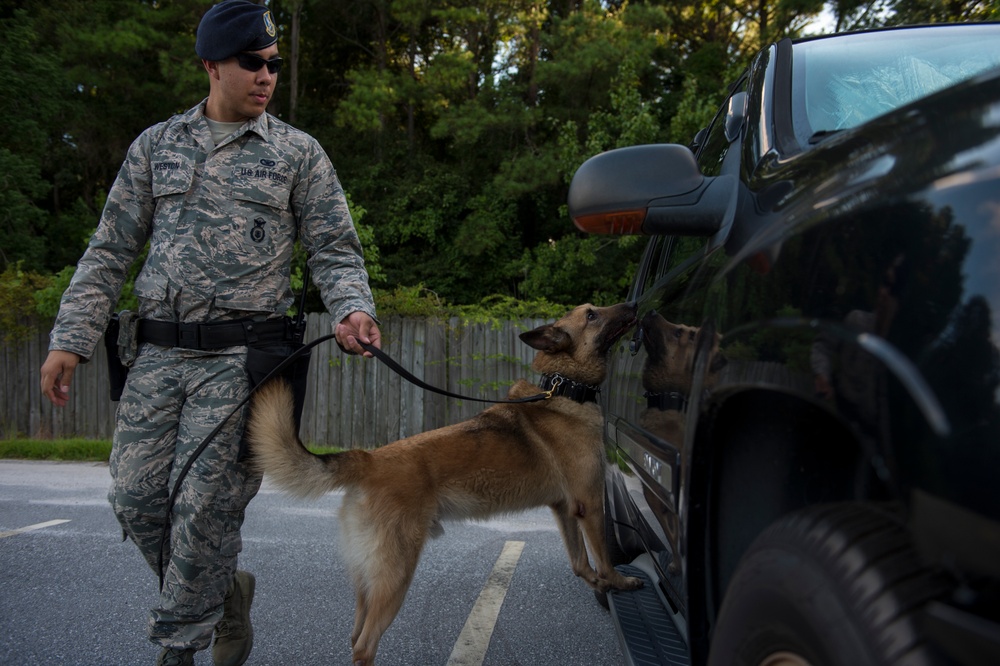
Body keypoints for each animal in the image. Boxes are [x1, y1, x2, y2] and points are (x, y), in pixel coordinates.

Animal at [246, 302, 644, 664]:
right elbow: (604, 558)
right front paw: (618, 584)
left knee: (354, 635)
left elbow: (580, 562)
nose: (632, 304)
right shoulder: (591, 504)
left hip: (368, 580)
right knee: (365, 645)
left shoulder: (564, 509)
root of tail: (368, 459)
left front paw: (597, 584)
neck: (563, 389)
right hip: (396, 576)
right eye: (592, 314)